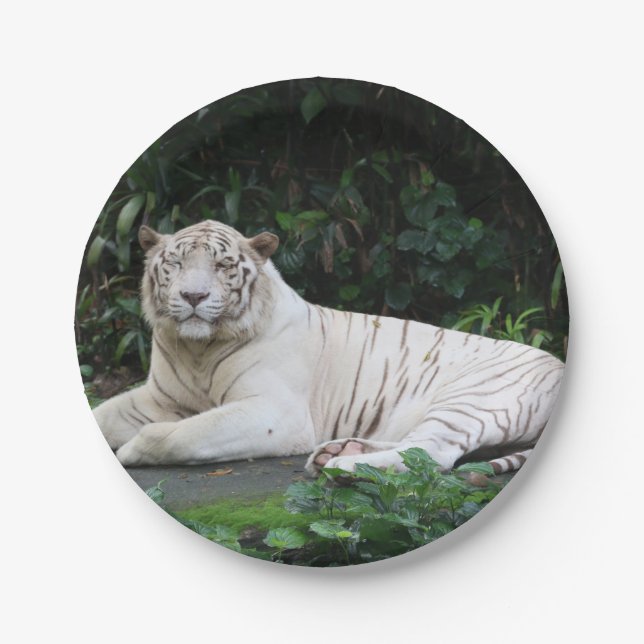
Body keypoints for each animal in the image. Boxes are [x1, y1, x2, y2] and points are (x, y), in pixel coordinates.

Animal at [92, 219, 564, 476]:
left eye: (223, 265)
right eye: (175, 263)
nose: (192, 296)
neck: (197, 349)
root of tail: (560, 366)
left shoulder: (276, 413)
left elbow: (184, 434)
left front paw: (131, 451)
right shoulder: (159, 398)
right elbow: (105, 415)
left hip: (472, 399)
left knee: (434, 453)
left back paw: (343, 467)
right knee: (416, 443)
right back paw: (338, 452)